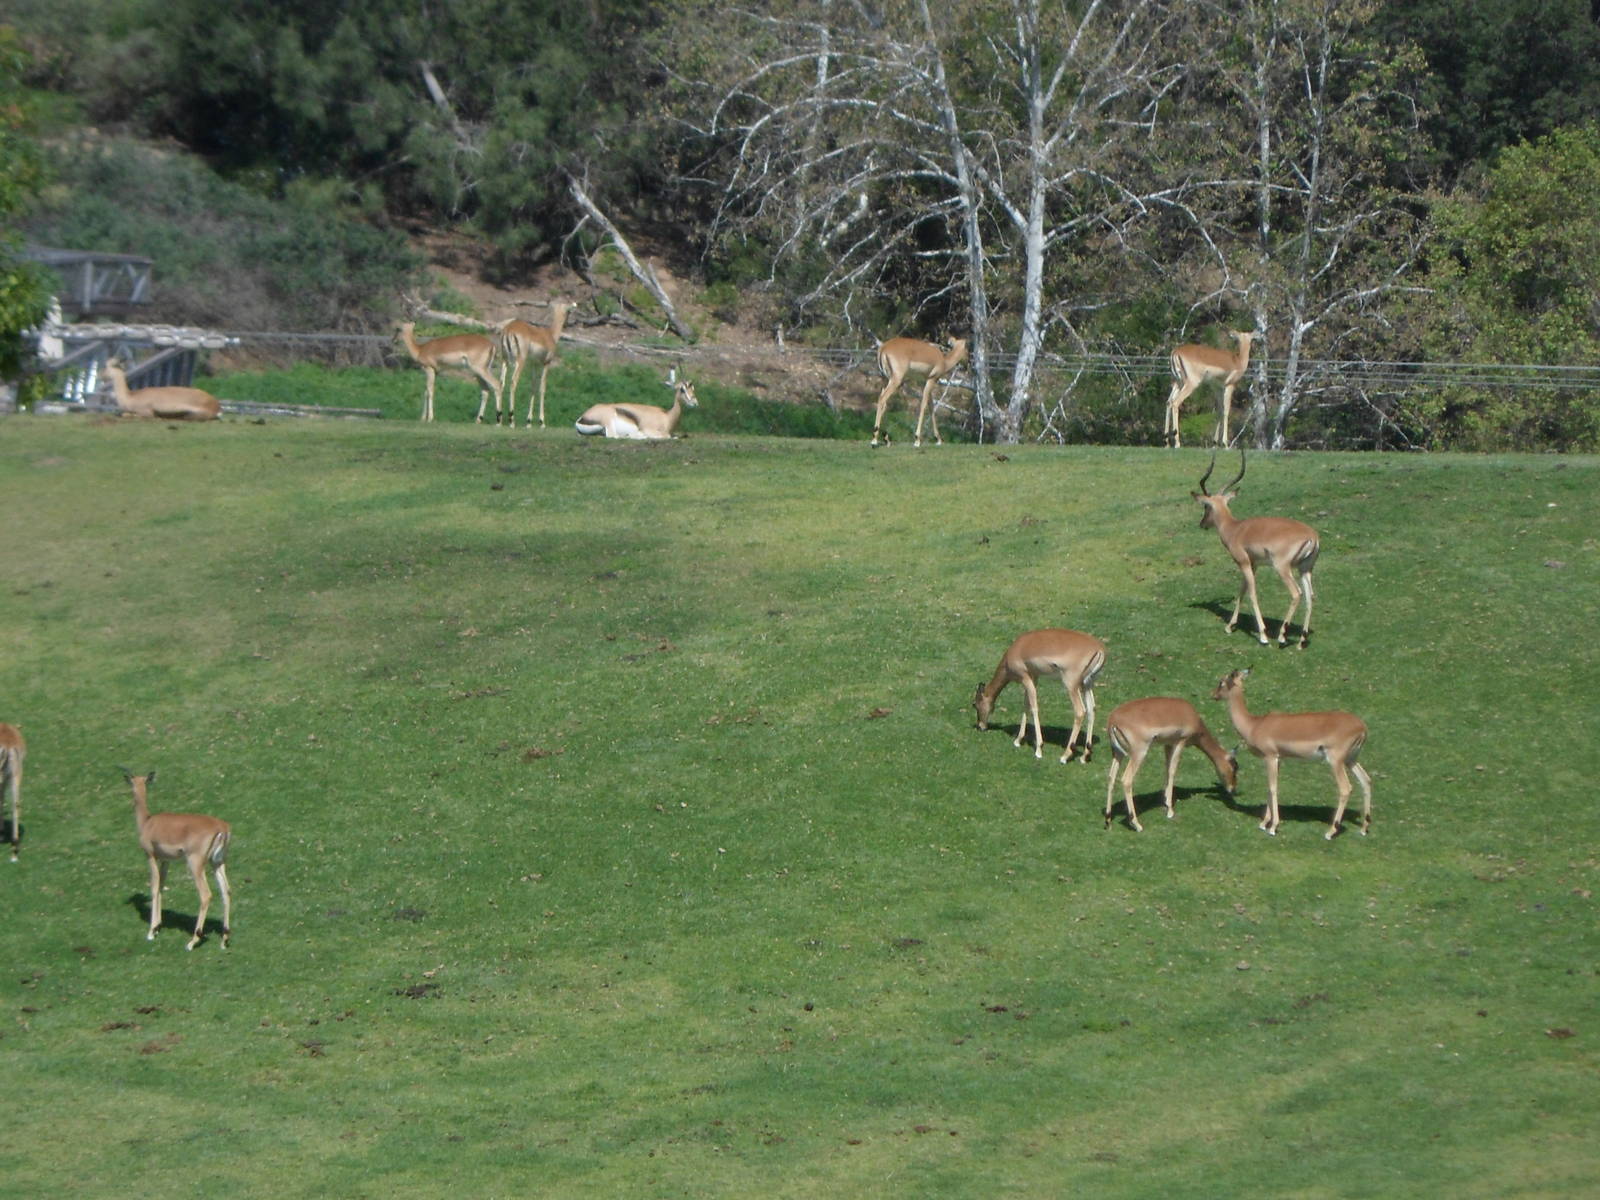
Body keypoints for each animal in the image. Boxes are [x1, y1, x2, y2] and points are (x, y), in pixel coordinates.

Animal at [122, 770, 232, 949]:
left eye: (131, 782)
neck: (147, 822)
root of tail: (222, 828)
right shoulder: (166, 860)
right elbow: (161, 885)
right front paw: (158, 926)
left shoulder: (150, 856)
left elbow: (154, 887)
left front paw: (151, 931)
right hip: (217, 863)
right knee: (226, 891)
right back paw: (224, 940)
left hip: (195, 864)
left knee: (206, 895)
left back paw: (192, 941)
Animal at [973, 629, 1106, 763]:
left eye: (974, 704)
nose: (980, 726)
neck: (1016, 650)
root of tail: (1099, 648)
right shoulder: (1034, 678)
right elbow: (1026, 705)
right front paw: (1018, 740)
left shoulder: (1025, 678)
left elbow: (1033, 708)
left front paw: (1038, 749)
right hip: (1087, 684)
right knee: (1091, 710)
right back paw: (1085, 756)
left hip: (1072, 686)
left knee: (1080, 711)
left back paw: (1065, 756)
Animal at [1102, 698, 1237, 832]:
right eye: (1235, 768)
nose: (1232, 789)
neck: (1192, 716)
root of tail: (1112, 720)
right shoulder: (1181, 741)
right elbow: (1172, 771)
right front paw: (1170, 811)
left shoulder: (1168, 744)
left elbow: (1167, 769)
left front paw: (1165, 802)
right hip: (1139, 753)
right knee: (1126, 780)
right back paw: (1137, 824)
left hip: (1118, 753)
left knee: (1111, 777)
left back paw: (1108, 821)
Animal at [1193, 450, 1319, 649]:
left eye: (1206, 506)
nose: (1202, 523)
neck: (1235, 528)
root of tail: (1312, 536)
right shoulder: (1253, 564)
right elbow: (1241, 591)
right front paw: (1230, 626)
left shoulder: (1243, 562)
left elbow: (1251, 593)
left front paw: (1263, 635)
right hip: (1305, 569)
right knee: (1310, 596)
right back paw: (1301, 640)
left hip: (1283, 568)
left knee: (1296, 593)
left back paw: (1282, 636)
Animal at [1212, 669, 1372, 839]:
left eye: (1221, 682)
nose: (1213, 694)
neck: (1255, 724)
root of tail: (1362, 727)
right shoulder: (1278, 759)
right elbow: (1270, 787)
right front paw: (1264, 823)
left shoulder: (1270, 757)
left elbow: (1273, 788)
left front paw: (1273, 827)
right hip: (1351, 760)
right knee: (1366, 781)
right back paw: (1363, 829)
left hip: (1335, 761)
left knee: (1346, 788)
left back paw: (1330, 832)